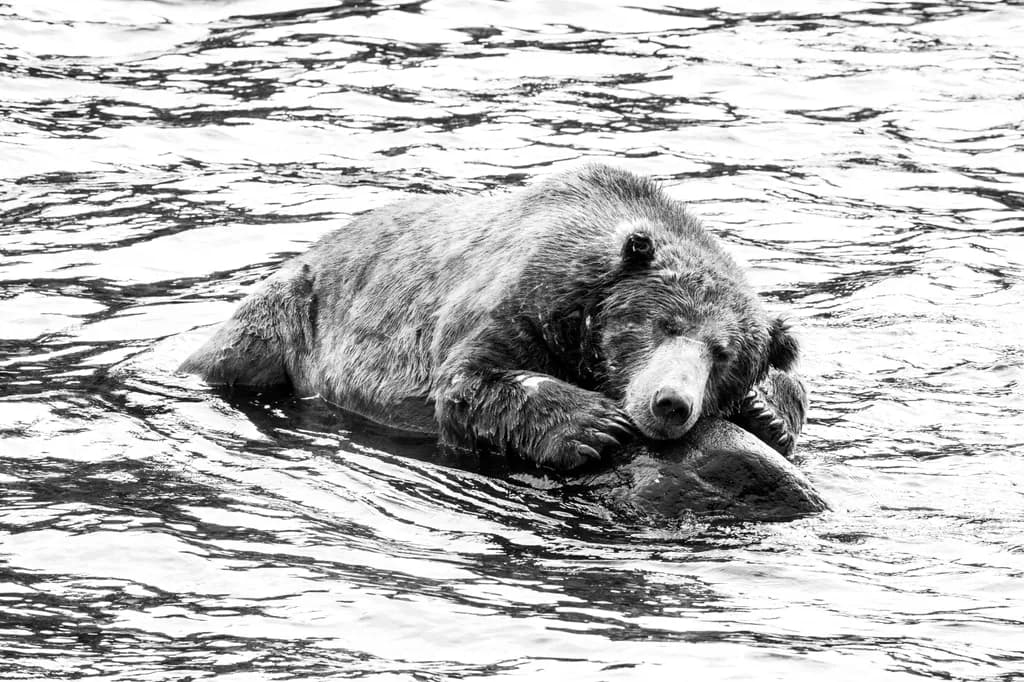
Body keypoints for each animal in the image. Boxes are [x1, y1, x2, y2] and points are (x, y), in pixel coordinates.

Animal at [180, 164, 799, 470]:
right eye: (665, 324)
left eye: (723, 356)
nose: (671, 402)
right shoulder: (522, 297)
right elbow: (471, 382)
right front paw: (593, 424)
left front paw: (767, 413)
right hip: (290, 311)